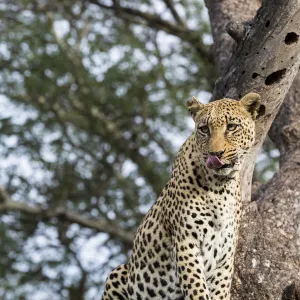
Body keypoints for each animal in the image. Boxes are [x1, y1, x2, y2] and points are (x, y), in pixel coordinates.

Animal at [102, 92, 262, 298]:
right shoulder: (186, 242)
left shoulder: (225, 256)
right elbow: (197, 289)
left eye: (232, 127)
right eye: (204, 129)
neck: (220, 187)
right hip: (118, 275)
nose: (215, 154)